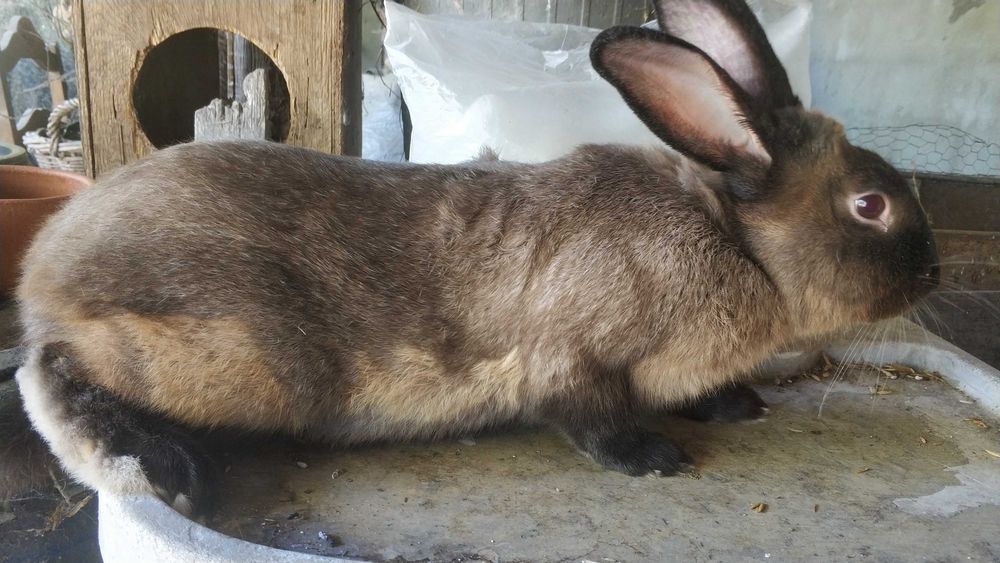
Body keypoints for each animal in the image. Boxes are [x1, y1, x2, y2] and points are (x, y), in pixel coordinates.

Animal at [10, 0, 937, 516]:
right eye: (870, 204)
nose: (932, 273)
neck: (737, 243)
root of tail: (45, 276)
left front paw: (737, 404)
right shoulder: (573, 360)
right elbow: (586, 415)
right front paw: (655, 458)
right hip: (233, 357)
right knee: (48, 372)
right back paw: (162, 468)